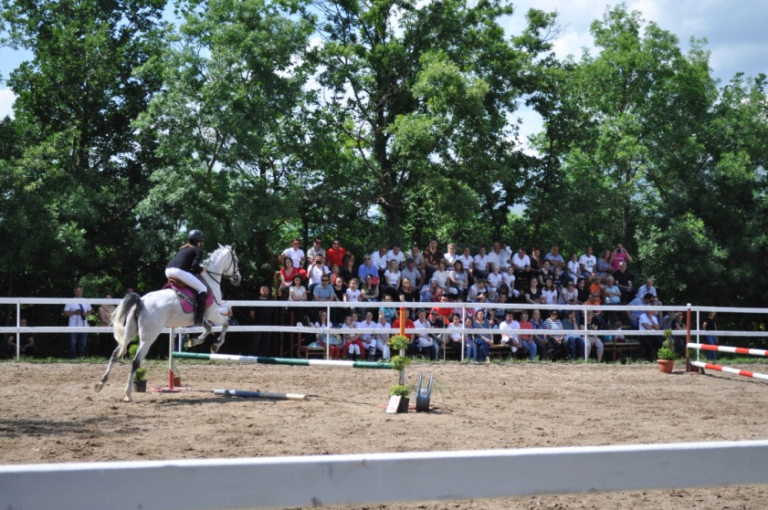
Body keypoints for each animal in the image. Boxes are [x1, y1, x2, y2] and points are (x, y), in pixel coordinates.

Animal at [95, 244, 240, 402]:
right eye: (236, 261)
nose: (238, 278)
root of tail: (141, 301)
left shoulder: (201, 318)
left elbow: (207, 329)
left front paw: (194, 341)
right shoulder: (212, 313)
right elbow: (225, 324)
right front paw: (215, 345)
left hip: (130, 332)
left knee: (115, 354)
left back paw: (101, 384)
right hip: (148, 337)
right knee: (135, 361)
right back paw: (128, 393)